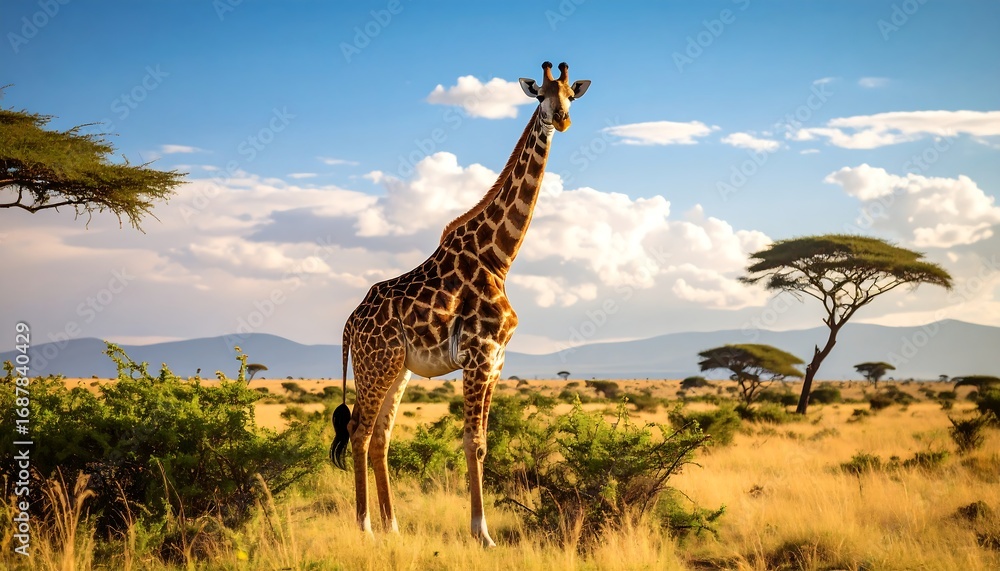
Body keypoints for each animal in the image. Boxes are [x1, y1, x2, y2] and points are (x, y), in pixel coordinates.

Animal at [330, 61, 590, 546]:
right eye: (540, 95)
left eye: (570, 94)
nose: (561, 119)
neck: (500, 257)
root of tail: (349, 326)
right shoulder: (478, 353)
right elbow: (473, 442)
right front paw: (482, 534)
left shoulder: (498, 358)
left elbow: (483, 442)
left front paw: (481, 530)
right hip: (376, 364)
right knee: (358, 431)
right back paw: (366, 528)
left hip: (398, 369)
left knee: (380, 437)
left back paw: (393, 527)